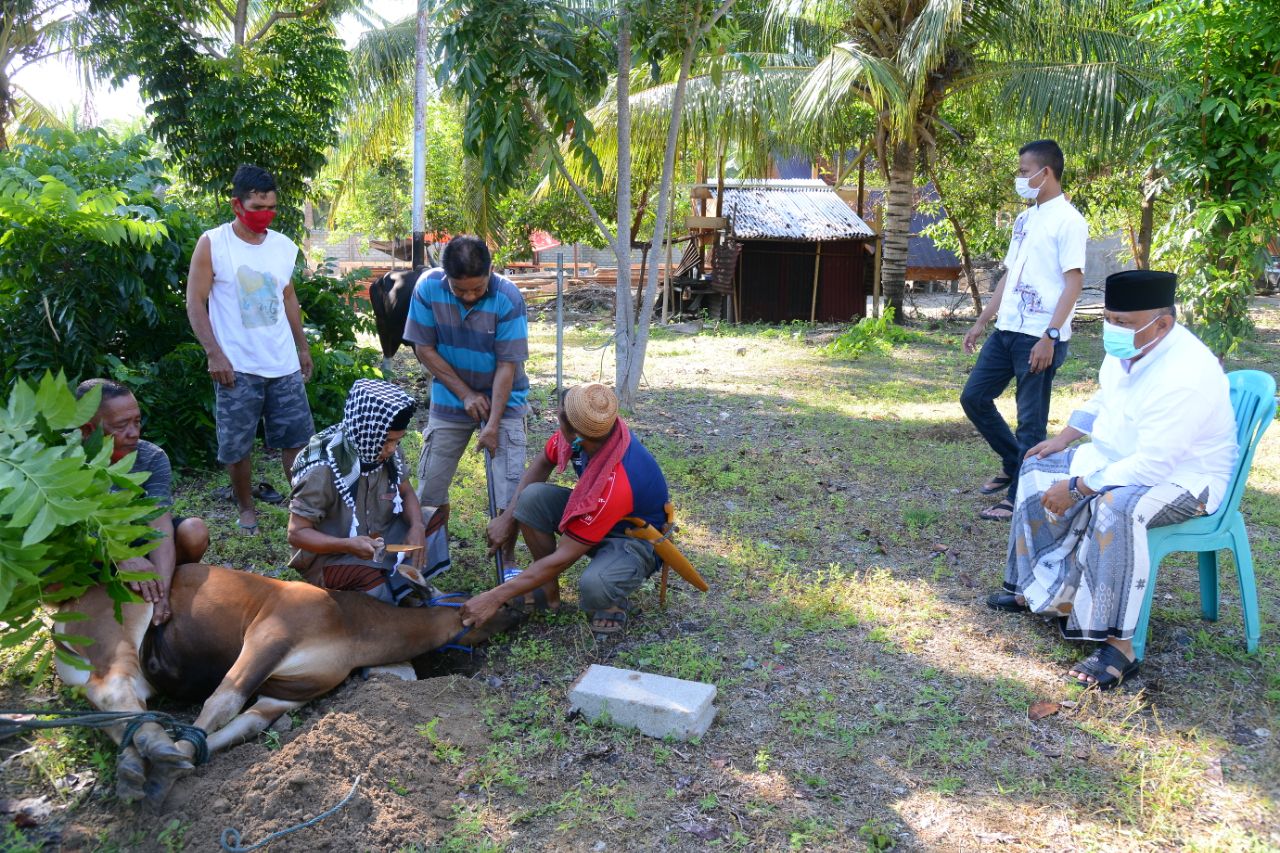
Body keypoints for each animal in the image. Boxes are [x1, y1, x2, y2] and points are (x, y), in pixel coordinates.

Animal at [55, 560, 514, 809]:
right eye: (491, 605)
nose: (523, 603)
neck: (353, 627)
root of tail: (63, 613)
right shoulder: (268, 636)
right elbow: (222, 702)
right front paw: (169, 766)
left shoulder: (287, 693)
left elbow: (243, 725)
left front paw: (181, 760)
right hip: (119, 630)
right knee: (112, 688)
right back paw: (149, 755)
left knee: (115, 705)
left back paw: (135, 760)